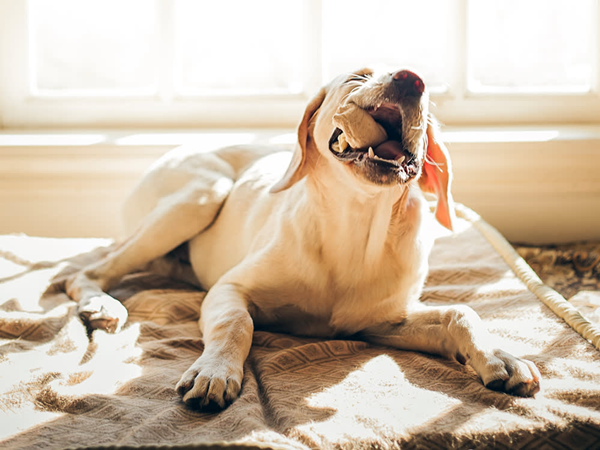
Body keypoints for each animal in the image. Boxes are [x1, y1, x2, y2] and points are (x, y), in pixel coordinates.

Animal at [63, 67, 540, 408]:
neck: (355, 224)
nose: (411, 79)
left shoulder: (381, 323)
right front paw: (215, 371)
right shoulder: (229, 289)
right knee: (86, 271)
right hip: (201, 195)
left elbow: (461, 313)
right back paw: (100, 304)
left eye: (427, 98)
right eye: (358, 77)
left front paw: (501, 356)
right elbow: (238, 324)